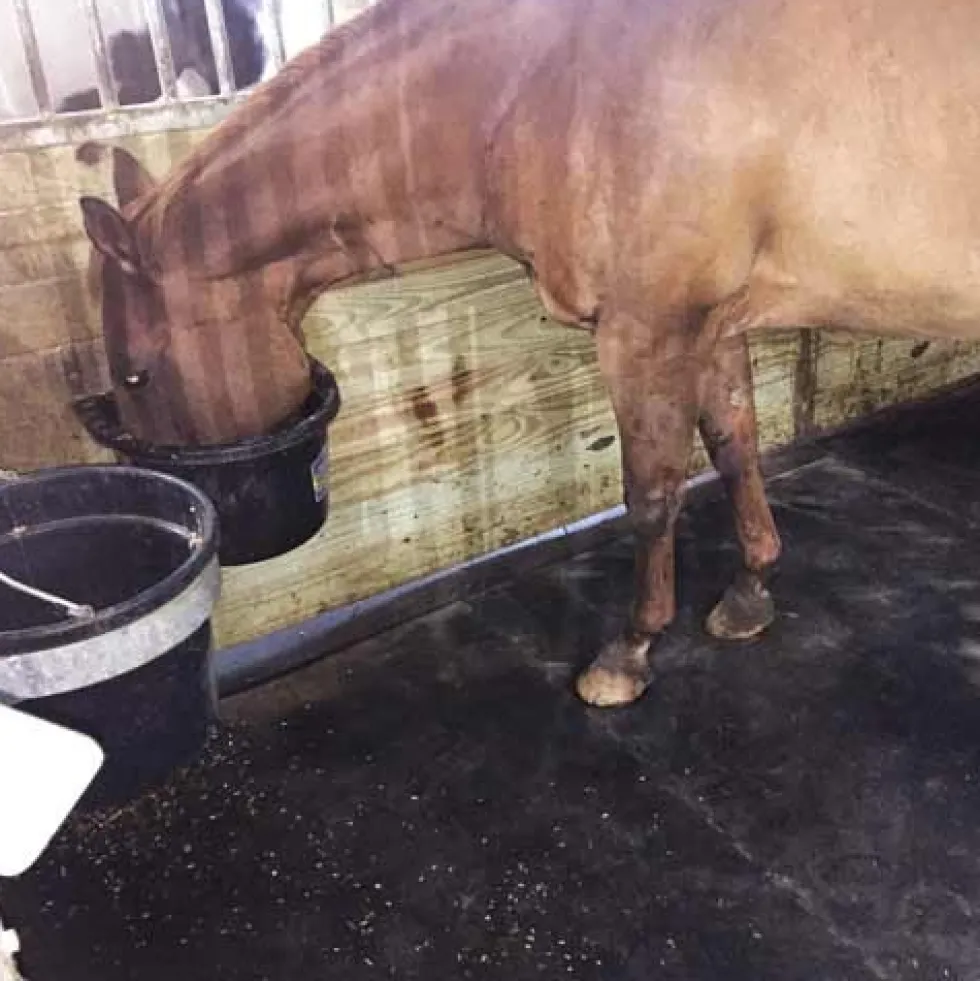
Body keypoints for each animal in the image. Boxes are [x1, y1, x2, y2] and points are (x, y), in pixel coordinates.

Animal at [77, 0, 980, 708]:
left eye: (137, 372)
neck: (549, 79)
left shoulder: (644, 334)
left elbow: (651, 495)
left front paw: (627, 654)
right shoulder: (710, 327)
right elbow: (733, 446)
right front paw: (750, 591)